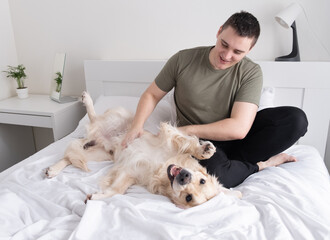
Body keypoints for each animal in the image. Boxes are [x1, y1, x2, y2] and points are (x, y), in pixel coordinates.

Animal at [45, 92, 242, 208]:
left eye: (189, 198)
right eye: (202, 180)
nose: (184, 176)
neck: (162, 167)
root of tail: (99, 137)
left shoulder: (129, 172)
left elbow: (117, 191)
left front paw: (96, 197)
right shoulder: (168, 138)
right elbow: (187, 143)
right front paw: (204, 149)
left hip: (99, 155)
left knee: (71, 156)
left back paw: (53, 169)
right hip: (120, 119)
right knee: (93, 119)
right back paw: (87, 100)